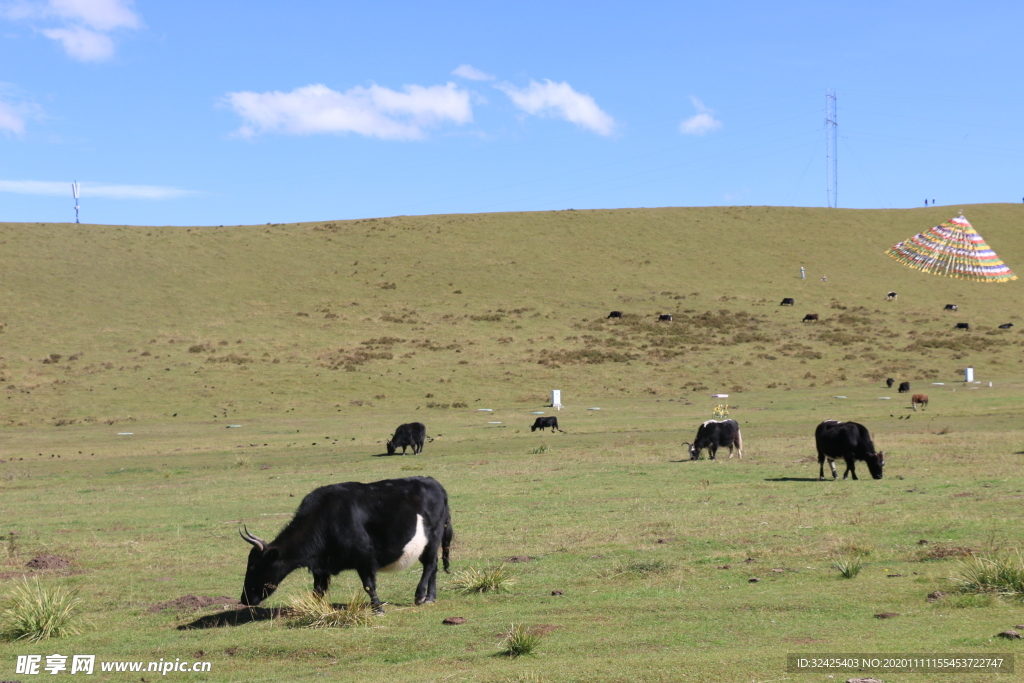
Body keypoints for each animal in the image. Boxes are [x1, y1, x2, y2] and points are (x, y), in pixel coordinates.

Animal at [238, 475, 452, 614]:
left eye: (254, 566)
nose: (244, 599)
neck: (325, 517)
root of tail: (434, 483)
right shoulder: (321, 568)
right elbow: (318, 590)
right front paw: (314, 608)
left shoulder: (364, 558)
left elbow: (369, 585)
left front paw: (378, 608)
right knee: (433, 567)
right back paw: (431, 597)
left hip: (432, 539)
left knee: (429, 565)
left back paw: (420, 595)